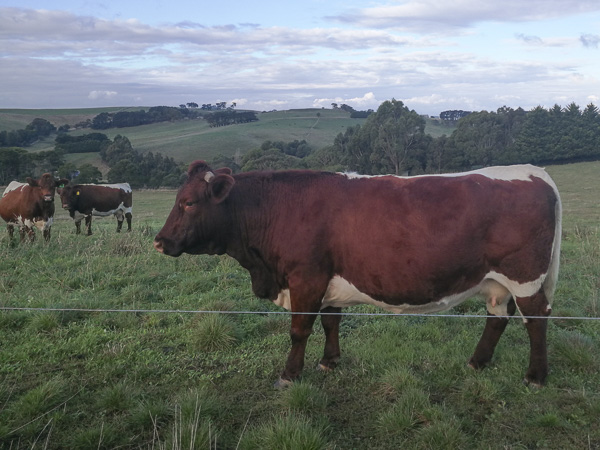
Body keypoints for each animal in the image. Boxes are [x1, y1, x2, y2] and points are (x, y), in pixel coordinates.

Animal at [154, 161, 564, 386]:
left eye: (188, 203)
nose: (159, 241)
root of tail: (534, 172)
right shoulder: (327, 280)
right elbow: (330, 321)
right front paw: (329, 361)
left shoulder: (305, 276)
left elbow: (299, 329)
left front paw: (290, 374)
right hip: (496, 281)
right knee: (498, 316)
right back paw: (477, 361)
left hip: (526, 276)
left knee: (535, 320)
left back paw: (536, 376)